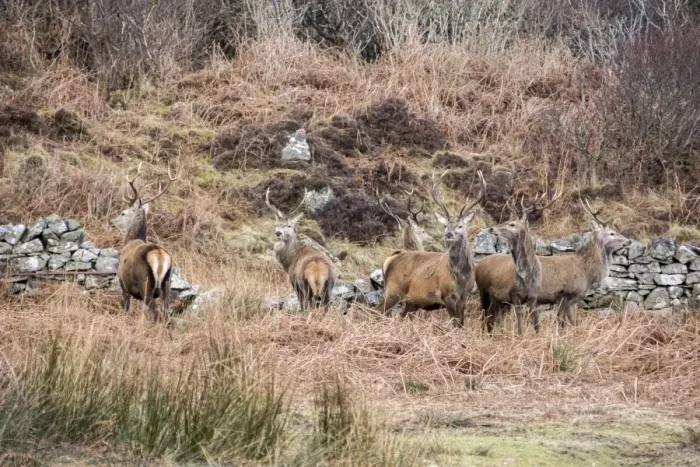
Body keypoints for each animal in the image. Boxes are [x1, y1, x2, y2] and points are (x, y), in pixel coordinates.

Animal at [109, 163, 177, 323]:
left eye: (123, 213)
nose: (111, 222)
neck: (129, 241)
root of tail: (159, 255)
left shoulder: (122, 282)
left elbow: (126, 308)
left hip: (146, 283)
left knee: (154, 311)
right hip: (167, 283)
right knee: (165, 311)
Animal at [377, 170, 486, 327]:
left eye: (460, 226)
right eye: (445, 225)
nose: (448, 234)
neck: (461, 277)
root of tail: (390, 258)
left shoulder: (464, 296)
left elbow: (460, 323)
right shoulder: (446, 294)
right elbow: (454, 323)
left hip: (407, 299)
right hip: (393, 290)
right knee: (379, 310)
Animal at [475, 190, 561, 335]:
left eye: (512, 224)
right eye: (507, 220)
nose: (491, 229)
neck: (527, 276)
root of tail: (480, 263)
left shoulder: (534, 296)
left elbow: (536, 323)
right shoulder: (514, 295)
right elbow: (520, 325)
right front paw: (520, 336)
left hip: (499, 300)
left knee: (492, 318)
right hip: (483, 290)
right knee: (484, 316)